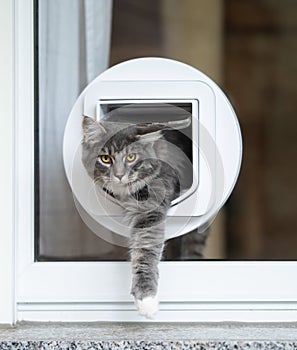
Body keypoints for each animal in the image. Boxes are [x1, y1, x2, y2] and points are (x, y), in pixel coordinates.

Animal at [82, 115, 191, 318]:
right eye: (105, 159)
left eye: (131, 157)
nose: (119, 175)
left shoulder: (150, 210)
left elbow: (144, 252)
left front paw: (146, 300)